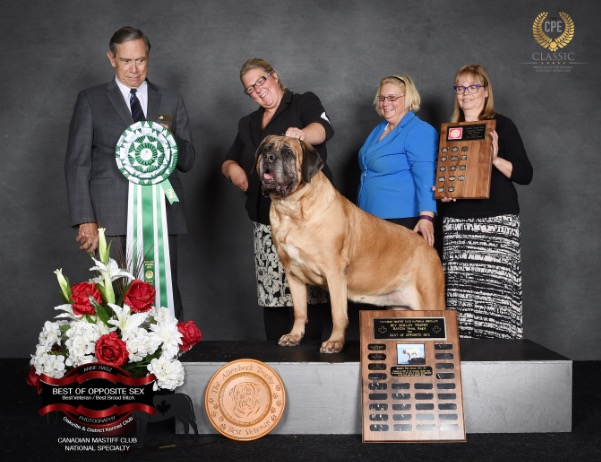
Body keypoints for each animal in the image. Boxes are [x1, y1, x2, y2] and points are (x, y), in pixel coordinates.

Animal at [256, 135, 445, 353]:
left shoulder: (335, 273)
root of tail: (429, 247)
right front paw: (294, 336)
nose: (268, 157)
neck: (292, 209)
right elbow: (300, 311)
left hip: (430, 297)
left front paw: (335, 342)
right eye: (265, 149)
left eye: (287, 153)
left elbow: (338, 313)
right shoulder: (293, 274)